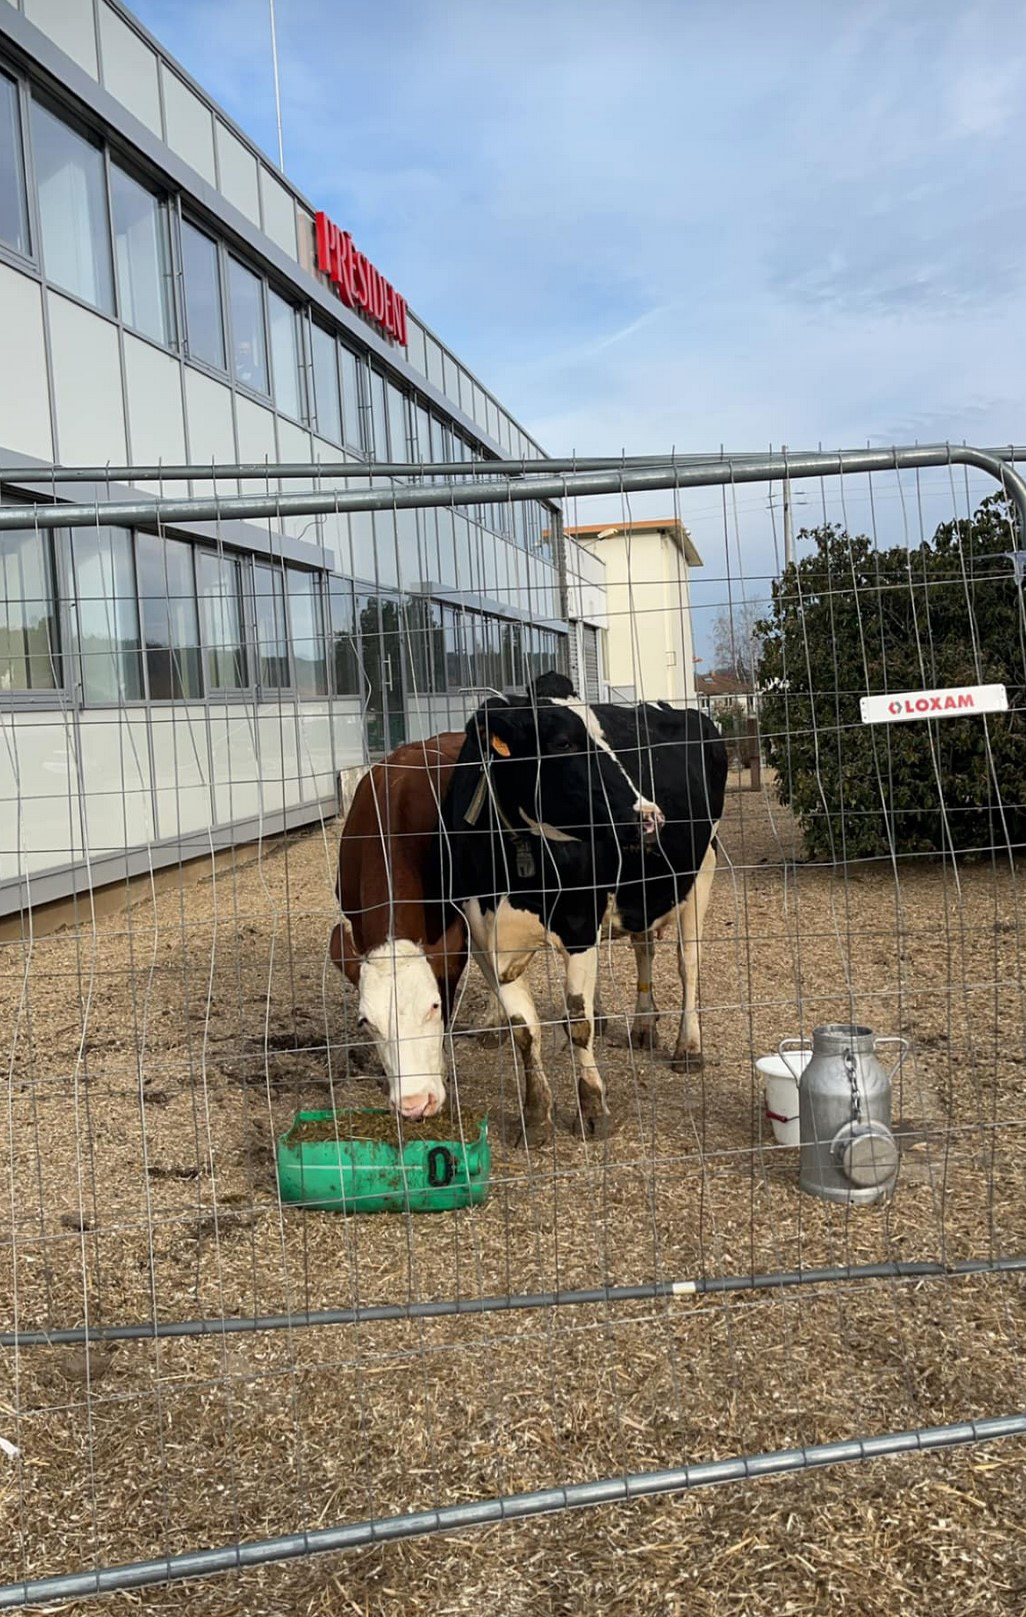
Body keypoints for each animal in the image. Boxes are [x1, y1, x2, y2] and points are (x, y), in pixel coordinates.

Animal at [442, 688, 665, 1144]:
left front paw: (593, 1109)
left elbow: (578, 1021)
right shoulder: (486, 940)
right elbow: (524, 1030)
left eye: (606, 736)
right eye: (562, 743)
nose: (648, 816)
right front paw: (536, 1114)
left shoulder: (580, 926)